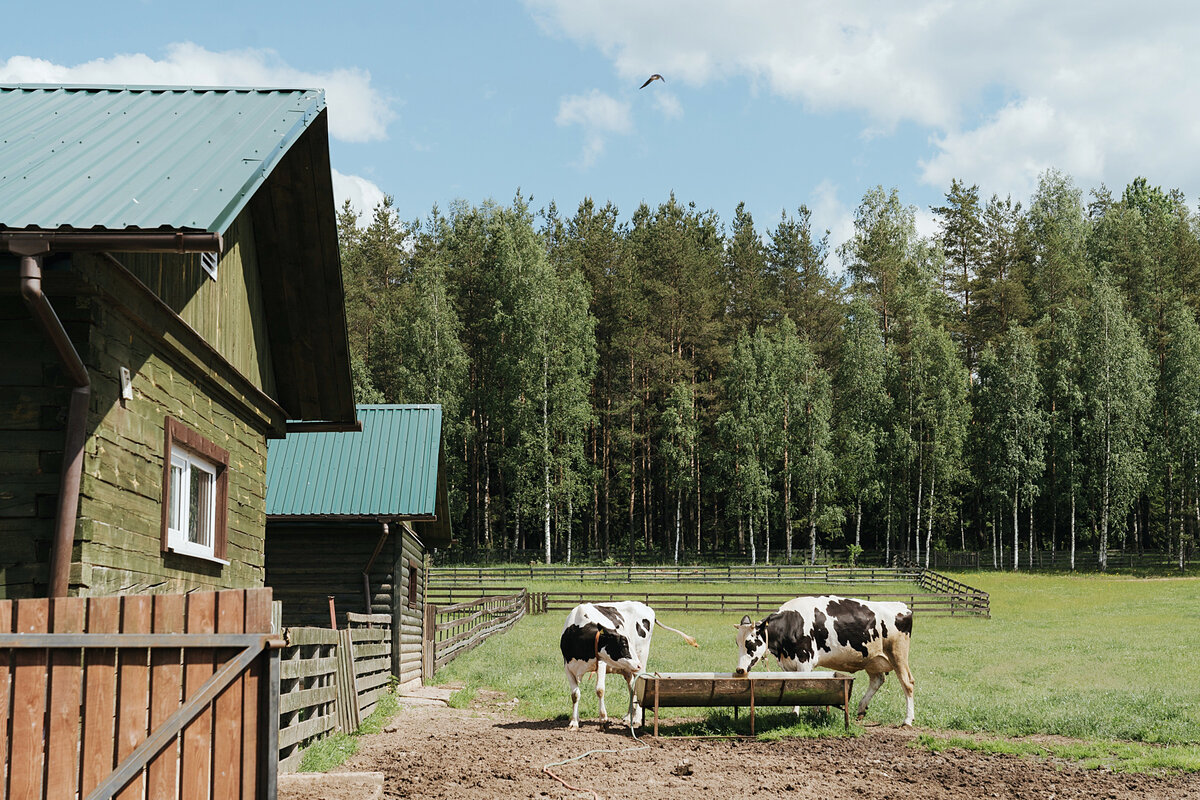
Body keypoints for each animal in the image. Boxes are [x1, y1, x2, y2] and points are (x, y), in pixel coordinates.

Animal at [559, 599, 700, 734]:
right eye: (623, 644)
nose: (637, 664)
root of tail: (646, 607)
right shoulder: (567, 667)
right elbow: (575, 694)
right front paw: (574, 722)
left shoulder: (601, 663)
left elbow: (600, 690)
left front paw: (603, 720)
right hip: (628, 669)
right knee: (632, 687)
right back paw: (628, 716)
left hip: (641, 658)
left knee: (639, 684)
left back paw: (637, 718)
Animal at [734, 594, 912, 734]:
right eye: (738, 643)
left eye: (750, 643)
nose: (740, 669)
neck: (792, 624)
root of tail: (902, 607)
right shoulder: (788, 665)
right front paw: (811, 713)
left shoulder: (804, 662)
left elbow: (803, 686)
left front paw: (799, 714)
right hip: (872, 660)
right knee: (877, 680)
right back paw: (861, 709)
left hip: (898, 655)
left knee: (908, 683)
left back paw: (908, 721)